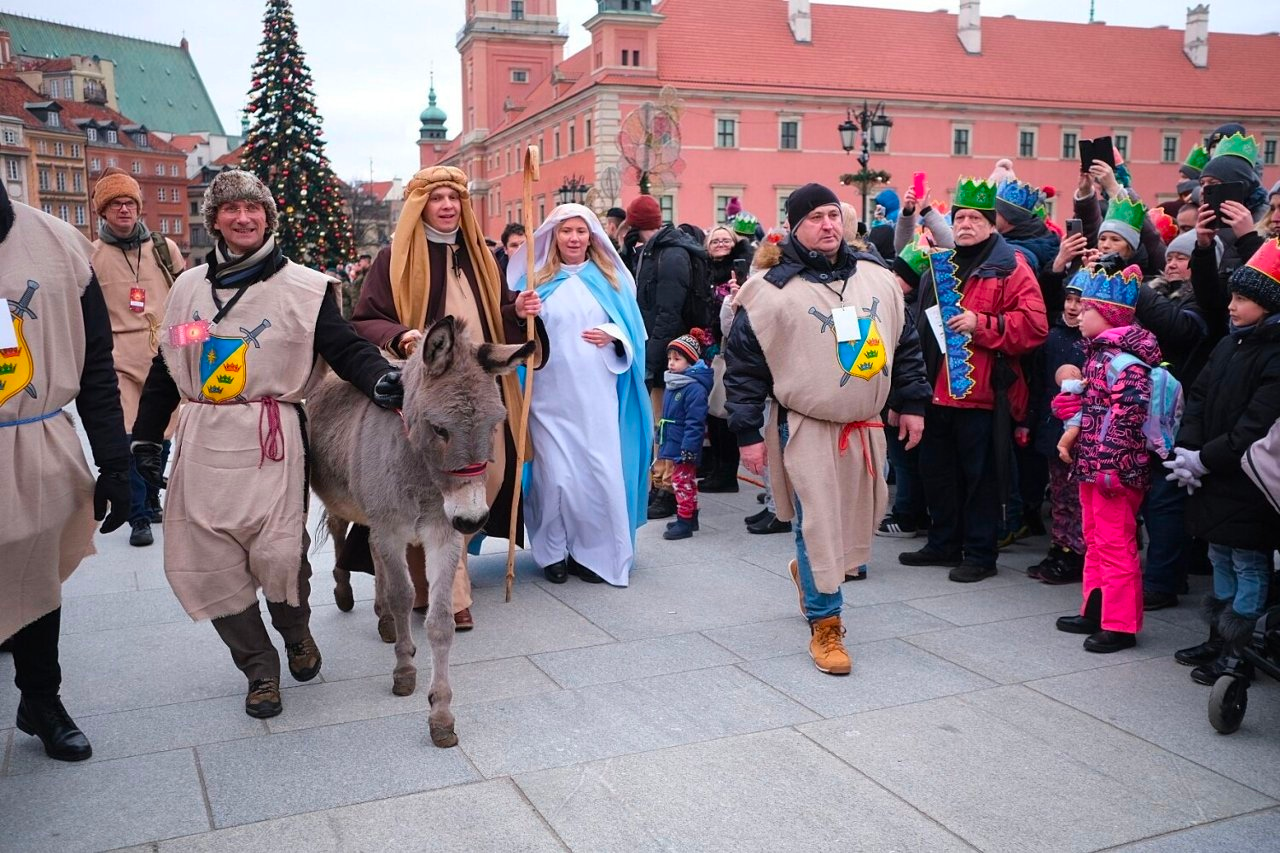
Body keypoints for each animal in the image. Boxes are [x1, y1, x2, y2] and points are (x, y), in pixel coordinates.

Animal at [308, 315, 532, 747]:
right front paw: (404, 673)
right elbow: (403, 596)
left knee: (370, 549)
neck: (422, 475)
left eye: (496, 424)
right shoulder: (392, 530)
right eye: (440, 429)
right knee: (343, 531)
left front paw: (441, 715)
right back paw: (346, 594)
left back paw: (382, 620)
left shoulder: (443, 535)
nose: (473, 520)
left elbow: (440, 621)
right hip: (344, 500)